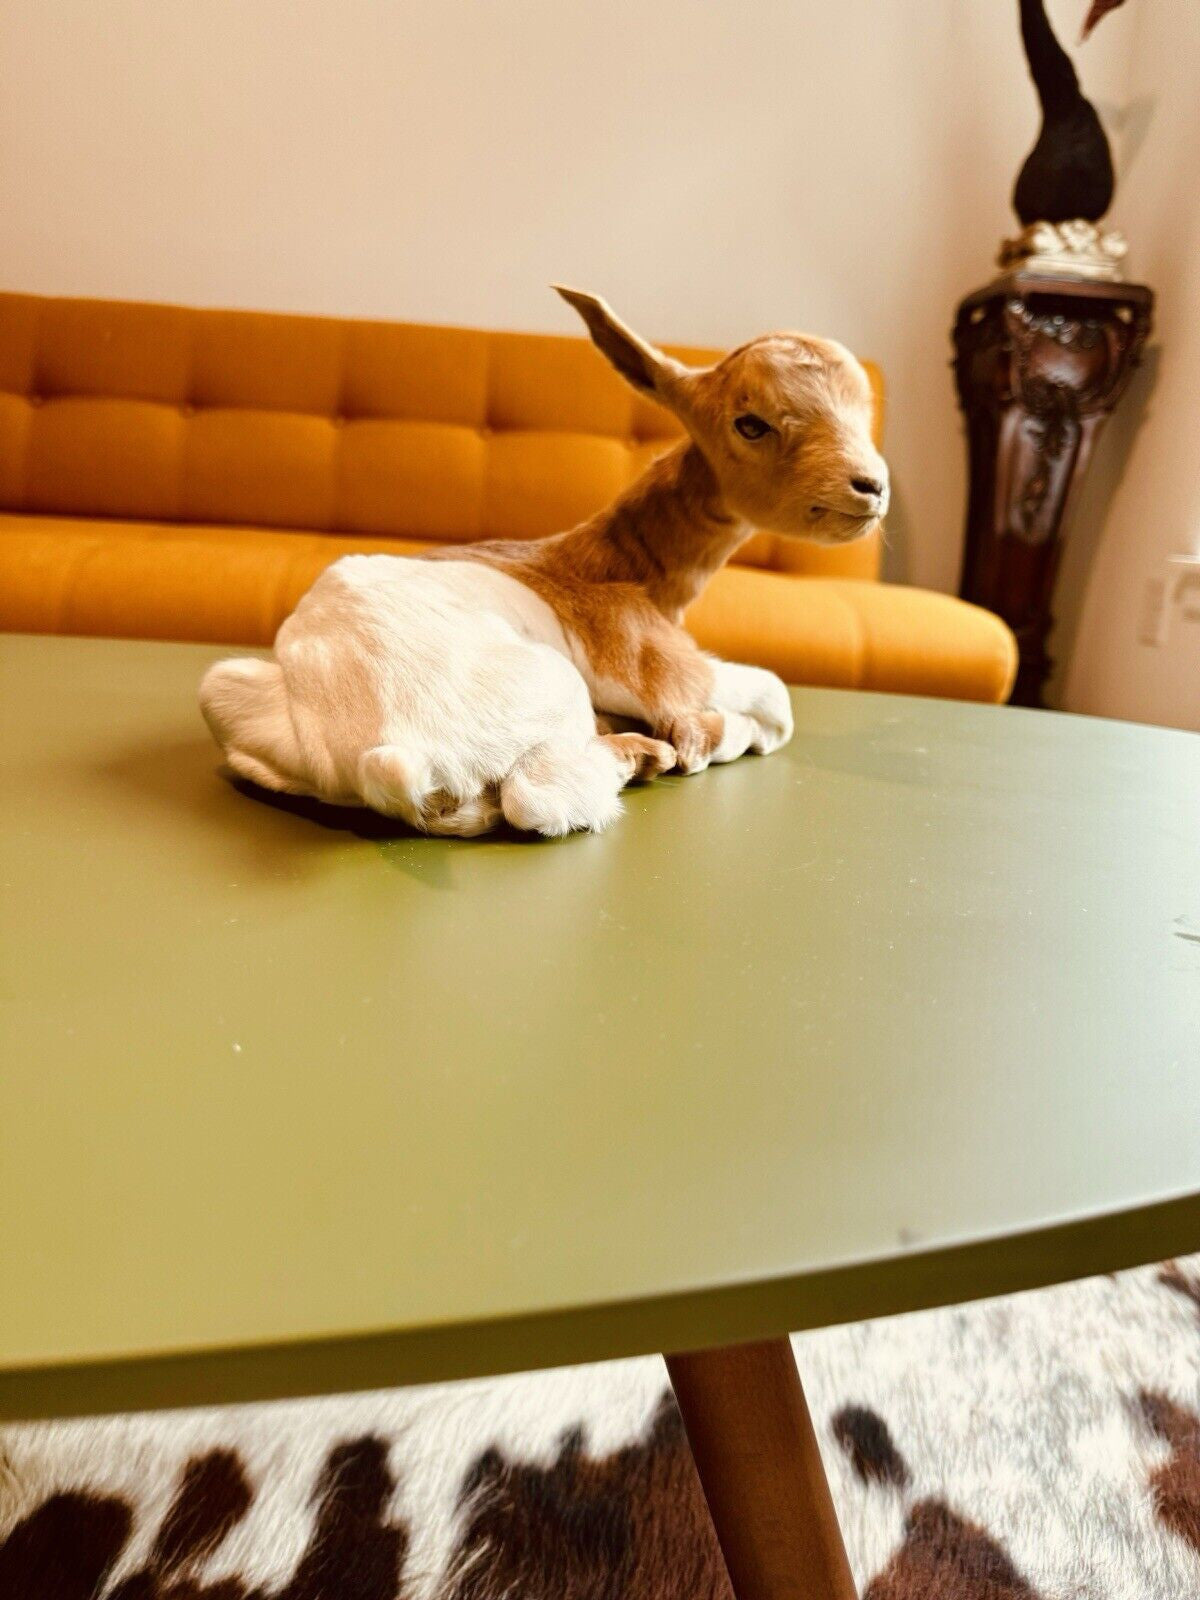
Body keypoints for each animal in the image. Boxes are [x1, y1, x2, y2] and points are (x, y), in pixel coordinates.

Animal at [199, 288, 889, 838]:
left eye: (862, 410)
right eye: (750, 423)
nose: (872, 487)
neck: (622, 565)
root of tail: (392, 752)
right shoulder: (664, 671)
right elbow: (773, 702)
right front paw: (704, 740)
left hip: (225, 691)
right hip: (555, 693)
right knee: (541, 799)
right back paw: (644, 754)